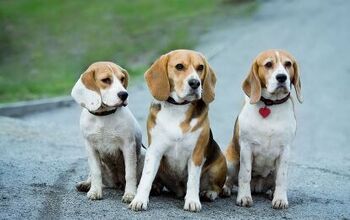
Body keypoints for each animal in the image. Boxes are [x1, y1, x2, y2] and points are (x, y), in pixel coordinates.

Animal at [72, 60, 143, 203]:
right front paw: (95, 191)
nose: (124, 94)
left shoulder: (128, 146)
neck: (103, 116)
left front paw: (130, 194)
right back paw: (86, 184)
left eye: (122, 79)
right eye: (106, 80)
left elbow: (130, 173)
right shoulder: (90, 147)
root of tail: (116, 183)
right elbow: (95, 172)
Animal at [129, 49, 227, 211]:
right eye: (179, 66)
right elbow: (146, 178)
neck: (178, 108)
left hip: (219, 164)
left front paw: (192, 201)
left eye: (200, 67)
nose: (195, 83)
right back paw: (156, 187)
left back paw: (209, 193)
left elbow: (193, 181)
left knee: (216, 187)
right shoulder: (154, 151)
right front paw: (140, 199)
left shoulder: (196, 154)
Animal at [223, 49, 302, 209]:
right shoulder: (247, 147)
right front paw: (244, 197)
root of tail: (257, 186)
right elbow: (245, 175)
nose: (282, 77)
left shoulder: (285, 150)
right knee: (230, 178)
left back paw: (272, 192)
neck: (270, 105)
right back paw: (224, 189)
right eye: (268, 64)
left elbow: (282, 179)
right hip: (231, 162)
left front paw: (280, 199)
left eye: (288, 64)